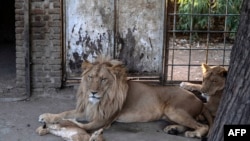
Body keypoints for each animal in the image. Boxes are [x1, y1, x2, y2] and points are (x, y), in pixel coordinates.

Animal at [38, 55, 211, 138]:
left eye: (103, 79)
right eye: (91, 77)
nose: (93, 92)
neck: (100, 100)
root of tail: (198, 99)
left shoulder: (103, 120)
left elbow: (79, 125)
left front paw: (56, 124)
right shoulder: (88, 110)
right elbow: (65, 113)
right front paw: (47, 116)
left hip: (173, 110)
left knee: (203, 126)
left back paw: (193, 133)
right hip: (171, 114)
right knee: (191, 123)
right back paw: (173, 129)